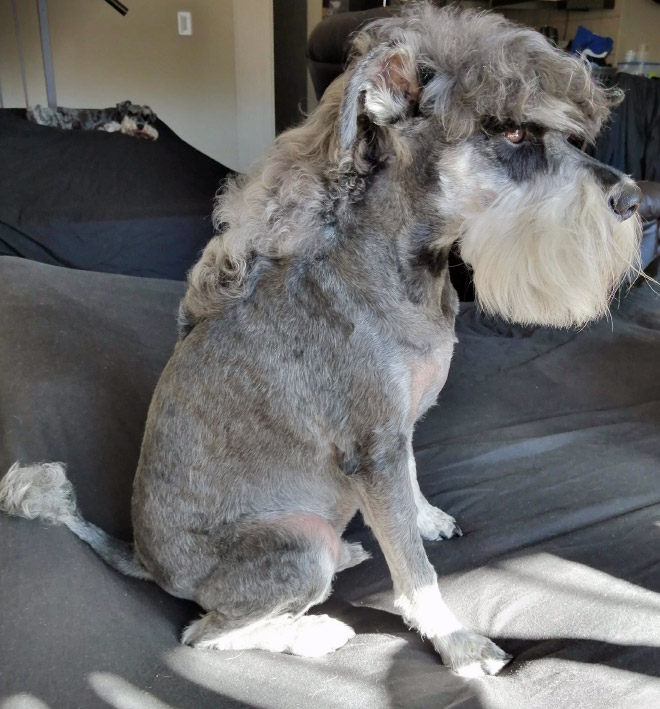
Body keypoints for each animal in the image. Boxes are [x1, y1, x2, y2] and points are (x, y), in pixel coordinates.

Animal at [0, 6, 640, 680]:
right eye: (513, 133)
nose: (635, 200)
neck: (398, 266)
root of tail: (145, 562)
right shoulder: (374, 448)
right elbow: (415, 574)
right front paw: (456, 642)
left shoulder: (395, 435)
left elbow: (409, 496)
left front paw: (426, 519)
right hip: (298, 545)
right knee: (206, 633)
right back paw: (314, 631)